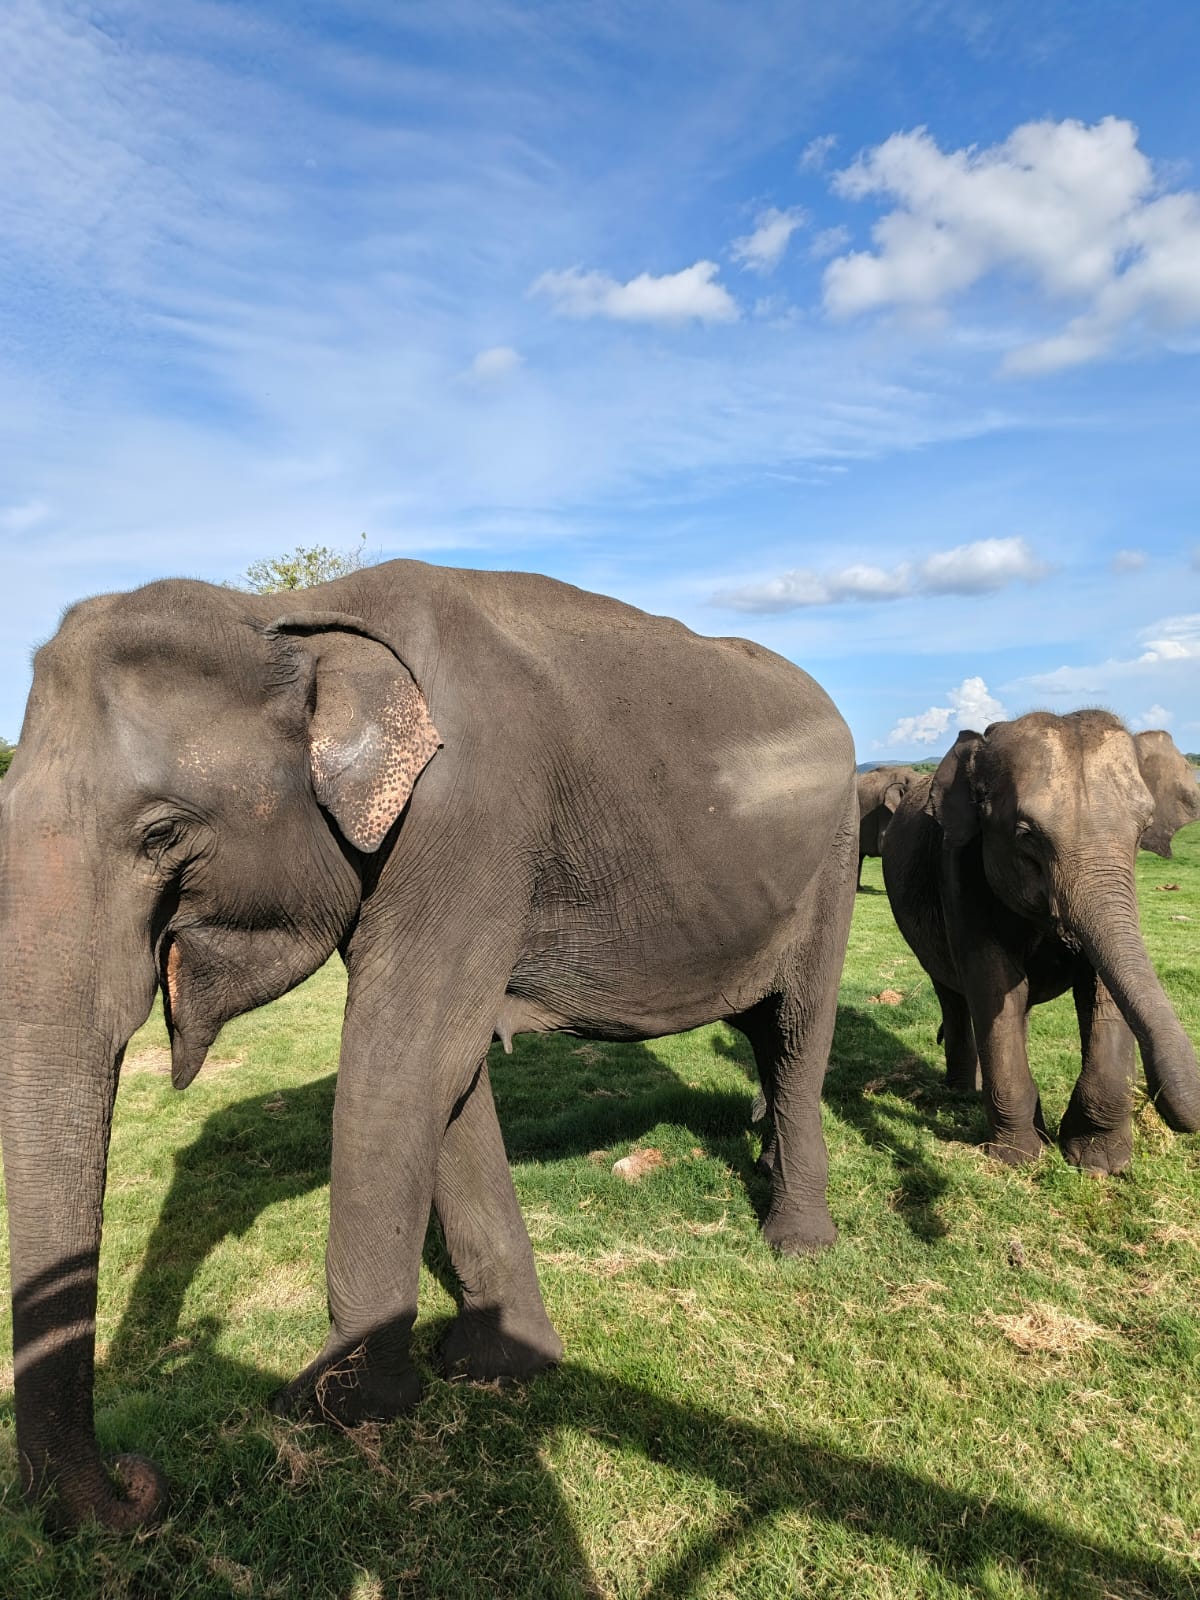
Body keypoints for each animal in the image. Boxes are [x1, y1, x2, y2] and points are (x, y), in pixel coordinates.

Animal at [0, 559, 858, 1531]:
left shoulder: (467, 818)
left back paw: (798, 1242)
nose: (140, 1481)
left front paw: (335, 1406)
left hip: (837, 856)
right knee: (763, 1034)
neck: (294, 622)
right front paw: (499, 1361)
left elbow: (403, 1063)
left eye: (163, 834)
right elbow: (449, 1078)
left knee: (797, 1035)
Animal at [881, 711, 1200, 1172]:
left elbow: (1103, 984)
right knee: (955, 996)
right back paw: (962, 1092)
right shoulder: (958, 869)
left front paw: (1100, 1164)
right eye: (1026, 834)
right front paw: (1017, 1159)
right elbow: (993, 979)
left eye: (1143, 829)